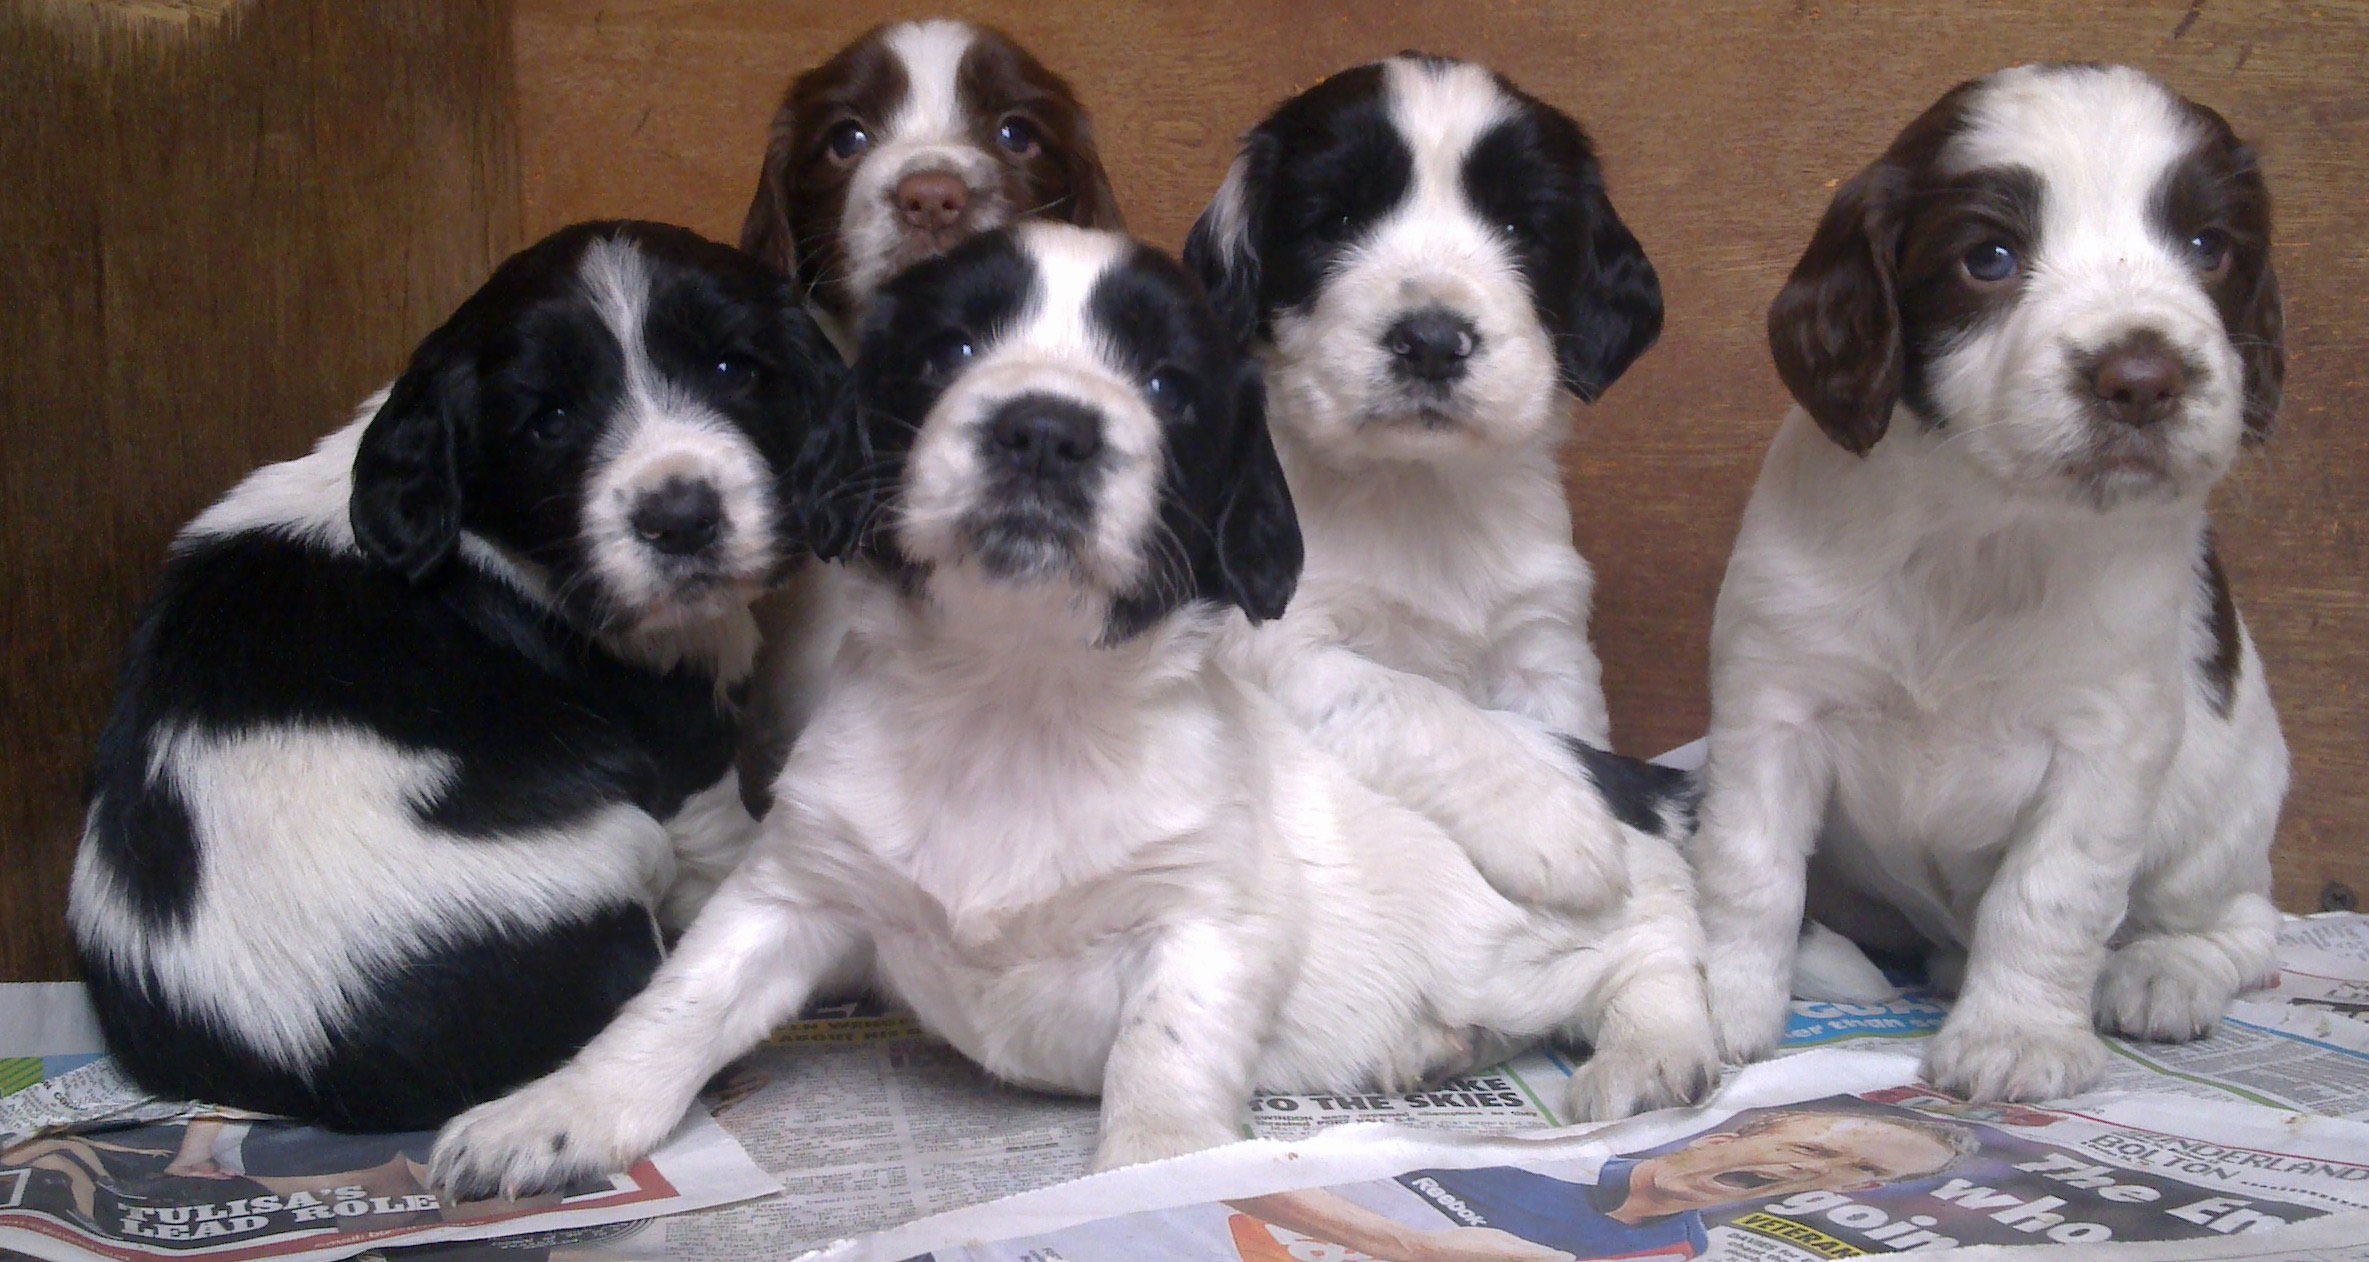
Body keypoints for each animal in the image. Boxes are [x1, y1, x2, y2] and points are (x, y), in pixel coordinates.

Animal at [69, 221, 848, 1127]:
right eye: (548, 420)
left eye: (732, 369)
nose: (681, 519)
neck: (479, 517)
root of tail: (307, 1072)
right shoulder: (683, 754)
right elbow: (734, 847)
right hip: (610, 853)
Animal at [431, 221, 1724, 1193]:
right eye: (950, 345)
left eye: (1164, 384)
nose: (1044, 428)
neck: (1018, 696)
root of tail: (1612, 770)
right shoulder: (795, 883)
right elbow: (675, 1004)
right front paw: (557, 1109)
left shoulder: (1203, 917)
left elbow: (1162, 1064)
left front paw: (1152, 1185)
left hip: (1530, 939)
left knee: (1656, 944)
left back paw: (1654, 1051)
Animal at [1184, 54, 1686, 918]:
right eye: (1334, 222)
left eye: (1519, 229)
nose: (1429, 341)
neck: (1415, 489)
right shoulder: (1277, 641)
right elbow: (1408, 700)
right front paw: (1547, 818)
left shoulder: (1541, 645)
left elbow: (1573, 735)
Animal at [1696, 63, 2283, 1098]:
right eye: (1990, 257)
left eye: (2209, 247)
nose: (2142, 378)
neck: (1981, 528)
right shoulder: (1774, 701)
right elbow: (1749, 866)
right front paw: (1721, 1003)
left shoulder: (2108, 739)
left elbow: (2048, 893)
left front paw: (2016, 1035)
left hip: (2220, 818)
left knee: (2246, 922)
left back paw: (2164, 973)